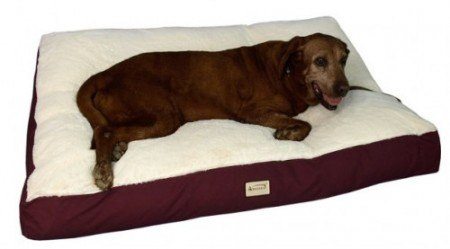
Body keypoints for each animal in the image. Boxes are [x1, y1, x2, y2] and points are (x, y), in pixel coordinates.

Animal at [77, 32, 350, 189]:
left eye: (344, 60)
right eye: (320, 61)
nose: (345, 89)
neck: (289, 73)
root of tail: (104, 74)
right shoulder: (252, 112)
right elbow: (306, 124)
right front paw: (289, 133)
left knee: (108, 128)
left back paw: (117, 148)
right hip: (165, 117)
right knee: (103, 131)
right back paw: (103, 171)